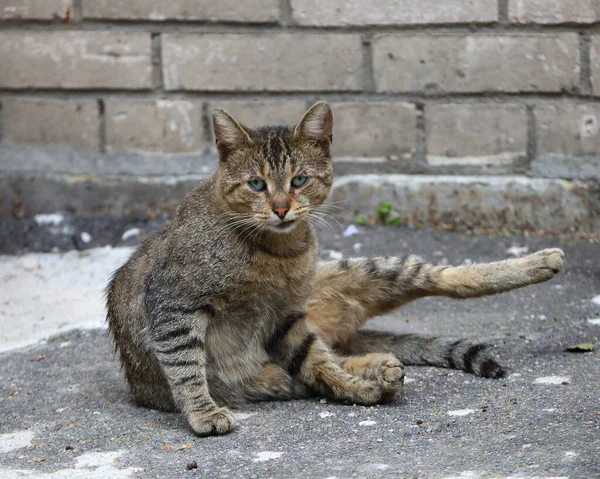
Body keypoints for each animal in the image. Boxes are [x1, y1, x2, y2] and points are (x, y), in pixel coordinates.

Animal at [106, 102, 564, 438]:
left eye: (300, 180)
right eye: (256, 185)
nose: (281, 208)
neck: (279, 252)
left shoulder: (286, 316)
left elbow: (319, 362)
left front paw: (357, 388)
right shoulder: (173, 304)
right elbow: (186, 367)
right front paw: (203, 412)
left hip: (366, 274)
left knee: (437, 281)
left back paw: (541, 262)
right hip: (270, 375)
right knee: (333, 354)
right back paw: (381, 370)